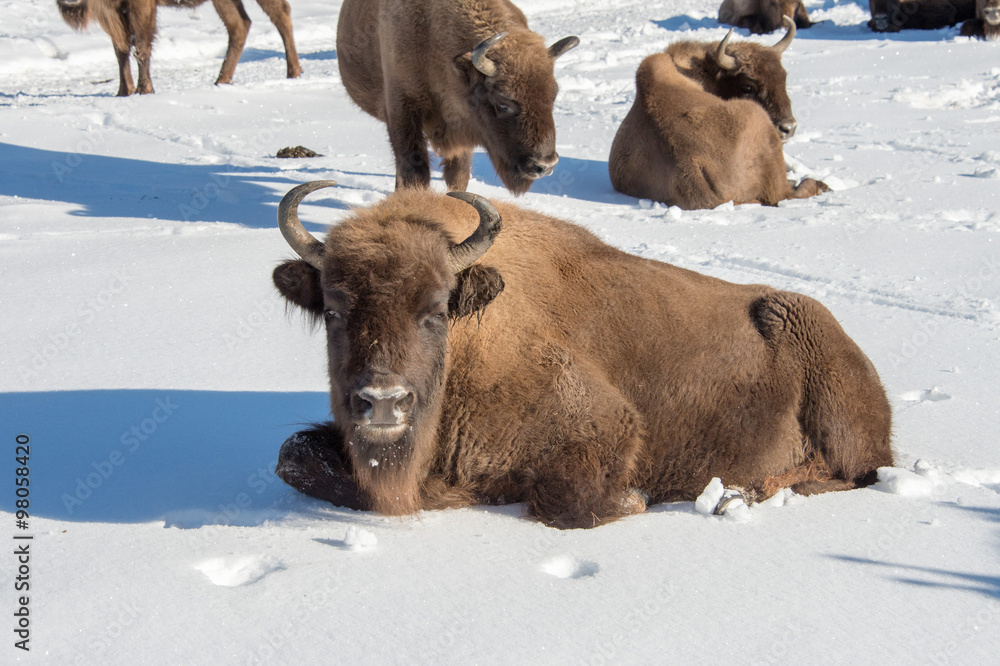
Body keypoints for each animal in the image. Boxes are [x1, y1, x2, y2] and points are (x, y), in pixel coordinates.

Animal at [57, 0, 300, 96]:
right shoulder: (114, 12)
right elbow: (121, 49)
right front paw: (123, 92)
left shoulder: (140, 7)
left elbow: (140, 46)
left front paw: (144, 90)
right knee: (240, 25)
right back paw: (221, 81)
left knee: (281, 15)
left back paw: (293, 72)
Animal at [270, 179, 896, 528]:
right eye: (333, 311)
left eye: (435, 310)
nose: (382, 402)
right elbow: (292, 455)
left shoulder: (605, 426)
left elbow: (568, 503)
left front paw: (636, 501)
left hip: (833, 404)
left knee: (849, 472)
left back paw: (738, 494)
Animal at [336, 0, 580, 192]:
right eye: (503, 103)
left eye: (553, 96)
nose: (545, 165)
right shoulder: (403, 110)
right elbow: (415, 172)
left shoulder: (464, 130)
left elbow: (458, 176)